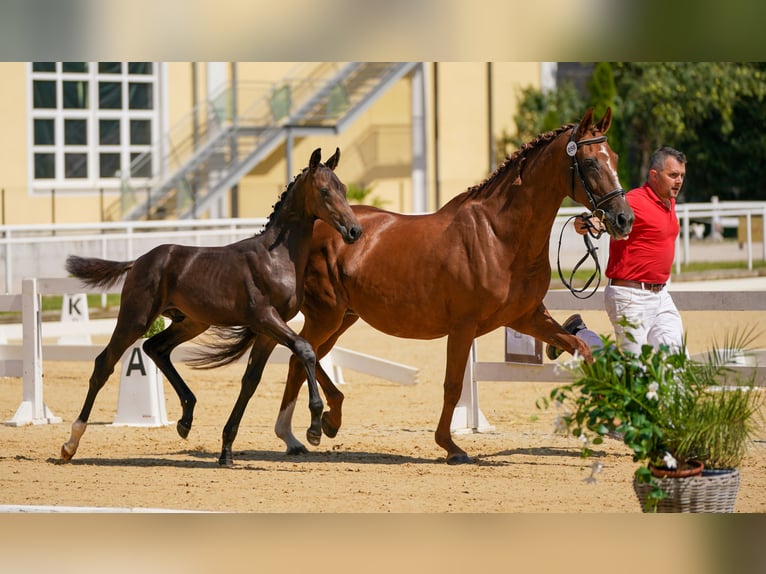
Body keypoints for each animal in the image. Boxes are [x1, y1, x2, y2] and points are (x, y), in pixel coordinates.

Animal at [58, 148, 362, 468]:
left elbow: (251, 381)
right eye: (324, 191)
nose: (354, 231)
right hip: (135, 318)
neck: (276, 258)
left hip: (191, 322)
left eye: (343, 189)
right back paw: (70, 444)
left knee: (156, 348)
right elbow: (305, 350)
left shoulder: (268, 331)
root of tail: (139, 261)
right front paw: (316, 425)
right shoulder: (265, 318)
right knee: (104, 363)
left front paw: (226, 451)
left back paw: (185, 419)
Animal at [206, 109, 636, 468]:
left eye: (614, 158)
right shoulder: (463, 327)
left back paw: (300, 434)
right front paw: (451, 446)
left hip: (343, 317)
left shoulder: (528, 317)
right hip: (327, 314)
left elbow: (582, 349)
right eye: (590, 161)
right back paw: (318, 425)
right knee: (302, 354)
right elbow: (452, 385)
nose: (623, 219)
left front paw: (614, 424)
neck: (499, 235)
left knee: (302, 357)